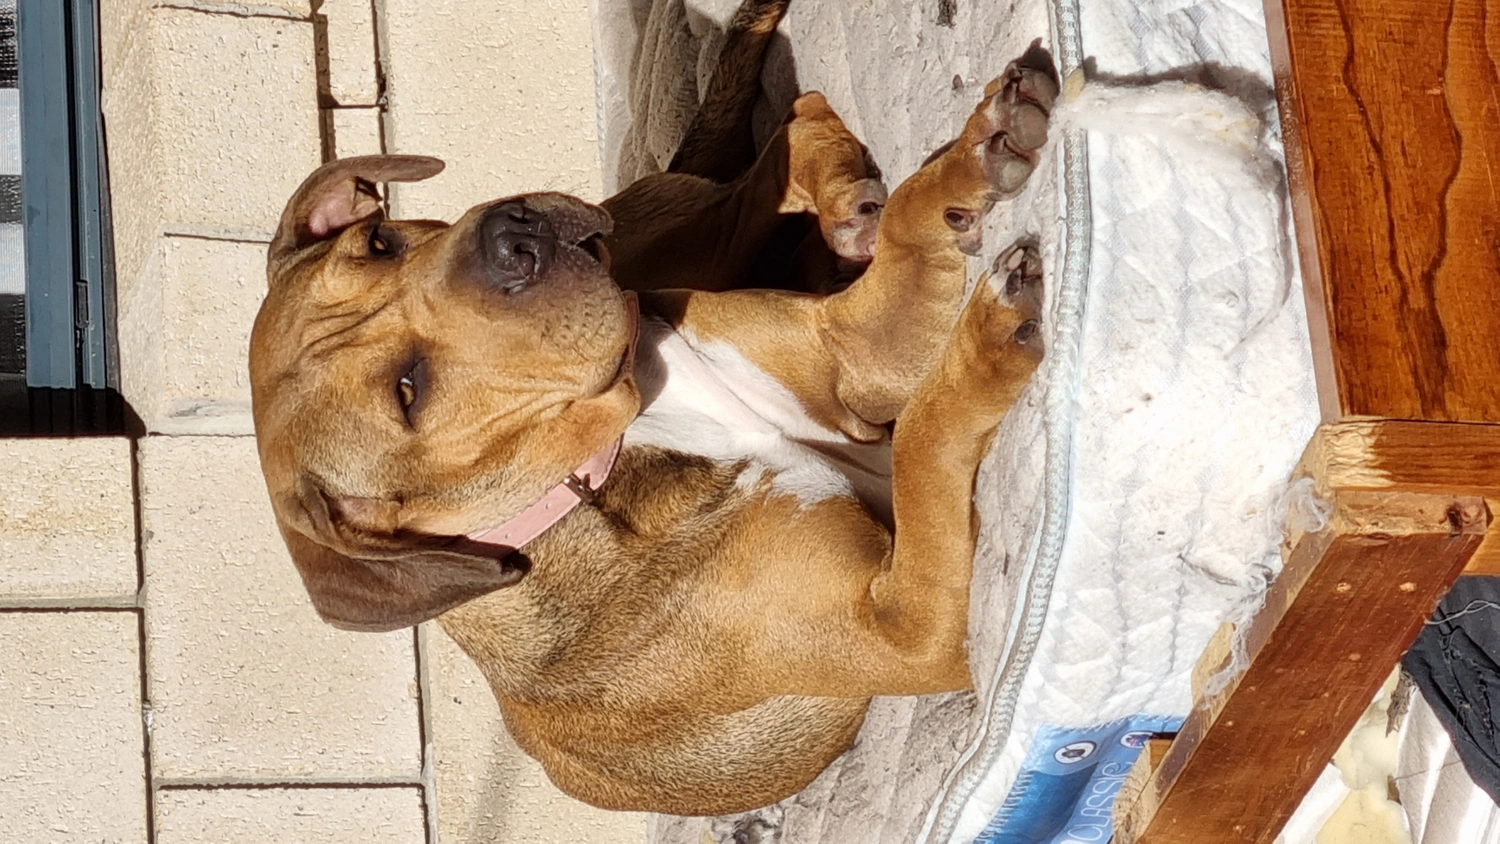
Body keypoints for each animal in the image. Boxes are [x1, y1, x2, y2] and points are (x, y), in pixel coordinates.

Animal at [250, 0, 1057, 815]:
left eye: (380, 239)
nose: (511, 234)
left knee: (788, 133)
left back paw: (845, 199)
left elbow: (910, 233)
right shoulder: (910, 625)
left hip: (673, 241)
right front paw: (992, 336)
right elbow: (922, 438)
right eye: (407, 392)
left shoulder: (856, 348)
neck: (628, 438)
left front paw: (980, 151)